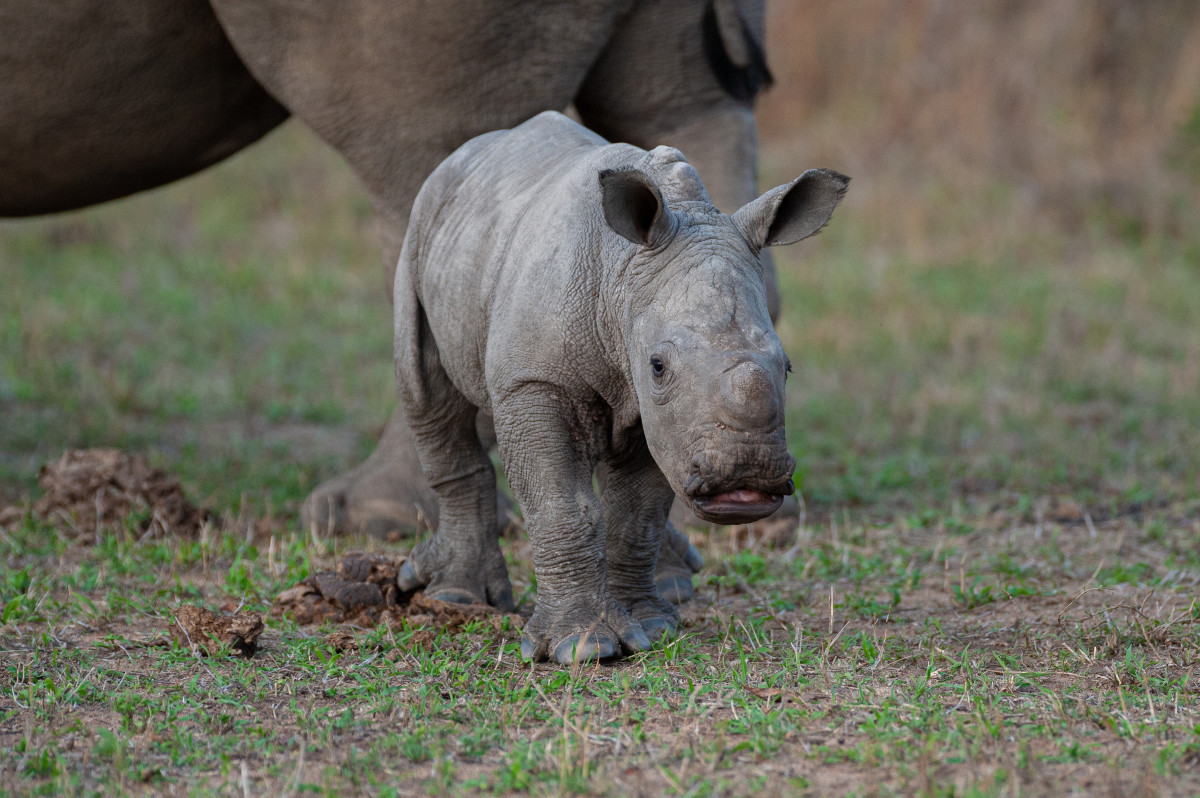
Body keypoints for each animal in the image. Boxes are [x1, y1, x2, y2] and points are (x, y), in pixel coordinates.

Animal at [392, 111, 847, 663]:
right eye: (658, 366)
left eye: (787, 368)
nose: (747, 479)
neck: (622, 275)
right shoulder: (534, 380)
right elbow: (562, 504)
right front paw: (582, 648)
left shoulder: (661, 417)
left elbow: (637, 514)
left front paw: (652, 627)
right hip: (422, 231)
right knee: (427, 392)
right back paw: (455, 597)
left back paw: (671, 588)